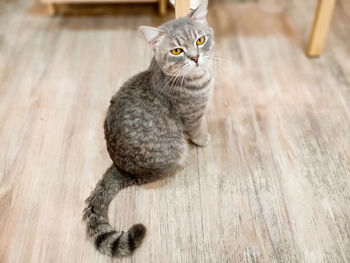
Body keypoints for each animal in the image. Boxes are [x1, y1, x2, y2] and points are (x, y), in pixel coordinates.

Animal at [84, 0, 216, 258]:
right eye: (177, 51)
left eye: (200, 40)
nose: (196, 58)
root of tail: (120, 168)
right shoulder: (193, 117)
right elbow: (198, 131)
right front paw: (204, 139)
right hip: (175, 152)